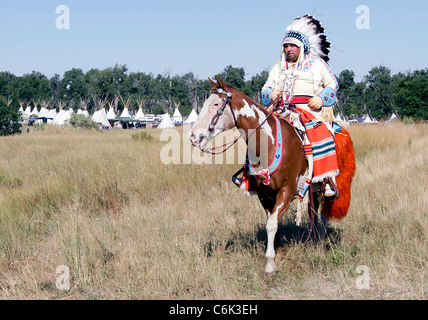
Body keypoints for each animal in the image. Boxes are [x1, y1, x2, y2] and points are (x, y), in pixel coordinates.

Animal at [189, 75, 356, 276]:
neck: (269, 143)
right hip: (314, 187)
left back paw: (321, 240)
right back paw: (314, 238)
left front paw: (269, 264)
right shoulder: (265, 195)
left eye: (215, 104)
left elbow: (271, 224)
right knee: (314, 211)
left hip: (329, 183)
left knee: (324, 212)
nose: (194, 136)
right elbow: (272, 222)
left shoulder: (287, 191)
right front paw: (277, 254)